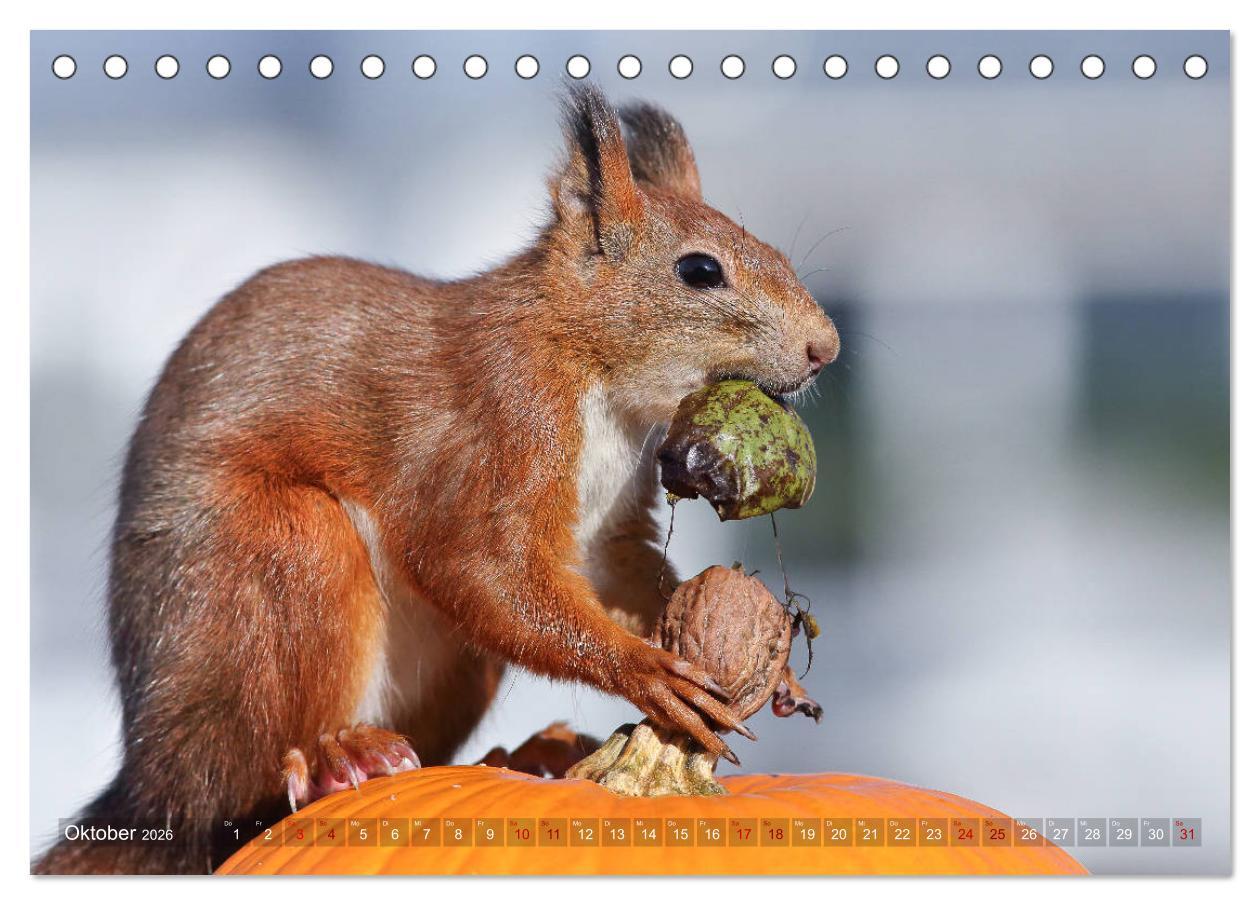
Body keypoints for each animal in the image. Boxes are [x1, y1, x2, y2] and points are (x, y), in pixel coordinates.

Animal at [35, 85, 839, 874]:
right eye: (699, 270)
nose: (825, 347)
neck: (586, 362)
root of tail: (148, 790)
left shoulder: (606, 527)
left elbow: (624, 577)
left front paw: (774, 670)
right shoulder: (500, 422)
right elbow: (472, 564)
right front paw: (647, 672)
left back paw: (523, 753)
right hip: (274, 565)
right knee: (237, 789)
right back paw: (331, 762)